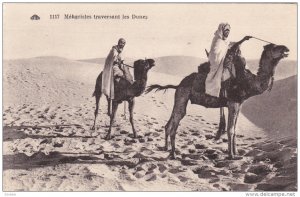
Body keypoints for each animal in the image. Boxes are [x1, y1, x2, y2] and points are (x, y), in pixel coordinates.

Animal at [146, 43, 290, 159]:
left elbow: (235, 129)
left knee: (169, 122)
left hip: (179, 98)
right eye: (274, 47)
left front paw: (237, 152)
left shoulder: (239, 104)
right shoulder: (233, 103)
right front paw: (231, 155)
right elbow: (230, 130)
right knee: (175, 124)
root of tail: (178, 85)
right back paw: (173, 154)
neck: (248, 82)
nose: (286, 48)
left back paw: (166, 148)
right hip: (183, 96)